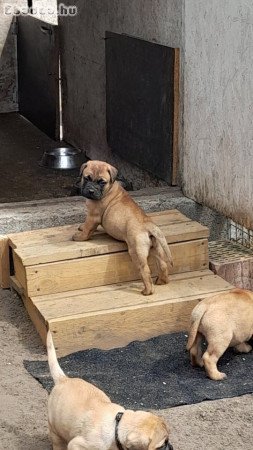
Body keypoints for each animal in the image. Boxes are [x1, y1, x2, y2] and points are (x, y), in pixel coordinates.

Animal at [72, 161, 173, 296]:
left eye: (102, 182)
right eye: (86, 178)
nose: (91, 191)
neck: (109, 189)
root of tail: (148, 225)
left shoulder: (93, 216)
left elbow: (88, 229)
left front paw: (80, 236)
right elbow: (87, 226)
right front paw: (81, 227)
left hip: (136, 252)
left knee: (145, 270)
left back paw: (147, 291)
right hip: (156, 248)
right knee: (163, 264)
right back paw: (162, 281)